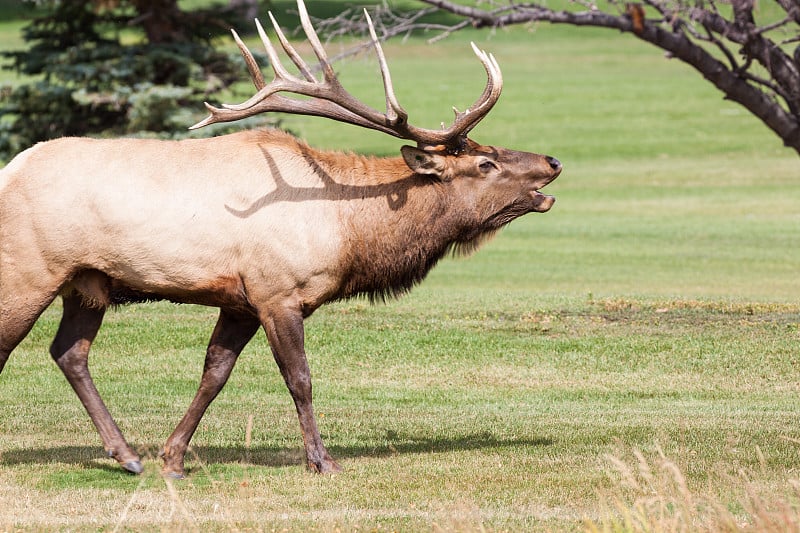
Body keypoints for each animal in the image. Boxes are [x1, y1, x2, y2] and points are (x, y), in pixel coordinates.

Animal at [0, 0, 564, 476]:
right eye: (485, 163)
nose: (553, 160)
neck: (349, 233)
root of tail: (10, 169)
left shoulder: (240, 298)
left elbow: (214, 373)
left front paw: (172, 457)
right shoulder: (279, 292)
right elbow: (301, 379)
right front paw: (323, 461)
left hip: (87, 281)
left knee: (69, 353)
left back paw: (126, 455)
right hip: (29, 272)